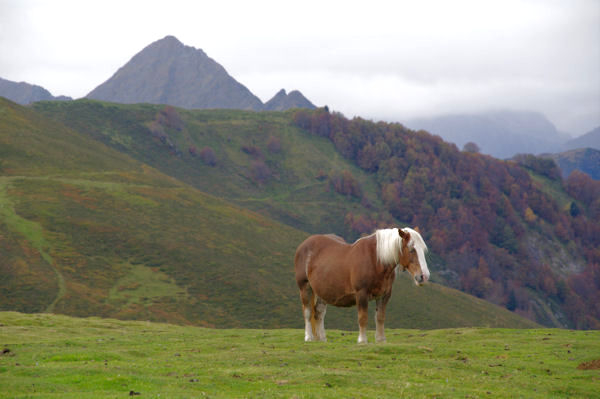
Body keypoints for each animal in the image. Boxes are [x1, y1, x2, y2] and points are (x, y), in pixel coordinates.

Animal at [294, 228, 426, 344]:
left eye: (423, 250)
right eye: (411, 249)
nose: (423, 276)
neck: (375, 260)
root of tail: (303, 245)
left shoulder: (384, 295)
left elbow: (380, 317)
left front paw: (381, 340)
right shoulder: (361, 293)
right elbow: (363, 318)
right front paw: (362, 340)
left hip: (323, 291)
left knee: (319, 313)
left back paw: (322, 339)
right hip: (305, 287)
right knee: (308, 312)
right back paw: (309, 337)